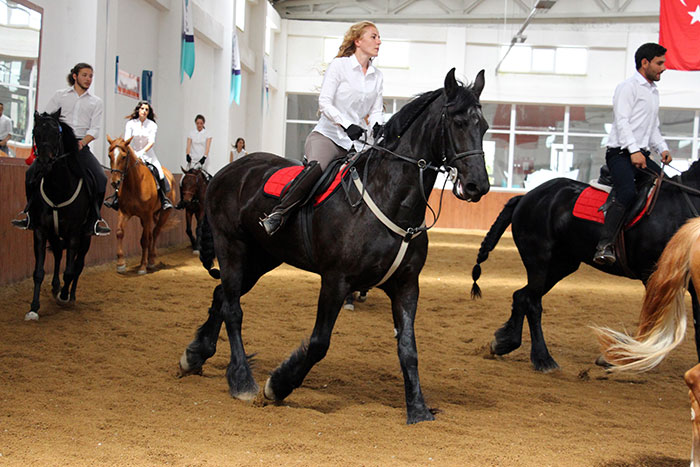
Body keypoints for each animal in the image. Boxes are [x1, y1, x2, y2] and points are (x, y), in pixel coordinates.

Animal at [23, 111, 93, 320]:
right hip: (54, 234)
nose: (45, 162)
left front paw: (64, 295)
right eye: (36, 133)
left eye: (56, 133)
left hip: (86, 237)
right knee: (58, 255)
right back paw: (55, 287)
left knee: (78, 264)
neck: (58, 190)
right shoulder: (40, 230)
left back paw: (70, 295)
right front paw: (34, 308)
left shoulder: (74, 233)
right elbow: (38, 272)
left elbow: (70, 270)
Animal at [108, 135, 178, 274]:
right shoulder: (125, 212)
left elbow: (145, 240)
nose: (115, 182)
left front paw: (142, 267)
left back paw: (151, 260)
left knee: (155, 233)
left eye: (123, 156)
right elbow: (120, 233)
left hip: (163, 214)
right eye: (109, 156)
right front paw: (120, 264)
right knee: (151, 234)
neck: (134, 184)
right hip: (146, 217)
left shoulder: (146, 215)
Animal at [178, 68, 490, 424]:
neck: (390, 196)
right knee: (232, 308)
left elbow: (408, 349)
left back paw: (195, 355)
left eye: (484, 126)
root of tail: (225, 172)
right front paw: (277, 386)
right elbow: (319, 343)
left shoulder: (407, 285)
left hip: (262, 258)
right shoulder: (336, 281)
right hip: (232, 247)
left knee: (221, 296)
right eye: (458, 122)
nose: (478, 186)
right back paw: (241, 379)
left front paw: (418, 409)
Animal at [468, 165, 700, 372]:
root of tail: (526, 197)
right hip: (539, 260)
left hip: (562, 264)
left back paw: (504, 342)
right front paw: (624, 357)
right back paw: (543, 359)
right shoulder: (653, 275)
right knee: (532, 302)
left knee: (522, 296)